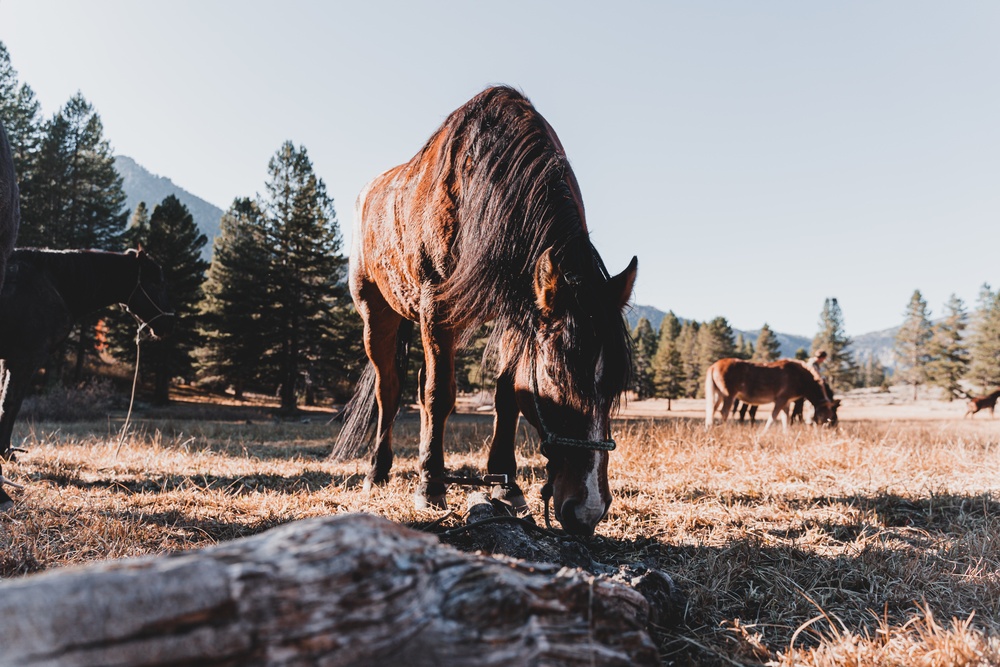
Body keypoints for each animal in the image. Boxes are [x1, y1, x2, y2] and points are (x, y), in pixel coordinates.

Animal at [0, 248, 174, 508]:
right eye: (157, 283)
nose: (169, 323)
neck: (54, 284)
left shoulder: (7, 360)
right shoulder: (24, 359)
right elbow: (10, 406)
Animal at [332, 86, 636, 536]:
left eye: (615, 386)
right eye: (556, 378)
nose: (588, 510)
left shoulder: (516, 311)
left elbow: (507, 396)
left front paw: (506, 485)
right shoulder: (436, 308)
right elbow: (439, 395)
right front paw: (430, 487)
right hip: (377, 313)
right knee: (390, 391)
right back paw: (378, 472)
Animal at [708, 358, 840, 430]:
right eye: (831, 414)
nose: (832, 427)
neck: (803, 382)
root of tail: (713, 366)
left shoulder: (787, 402)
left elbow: (786, 420)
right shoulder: (782, 398)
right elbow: (773, 417)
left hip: (718, 393)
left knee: (712, 409)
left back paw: (709, 428)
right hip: (728, 394)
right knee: (724, 412)